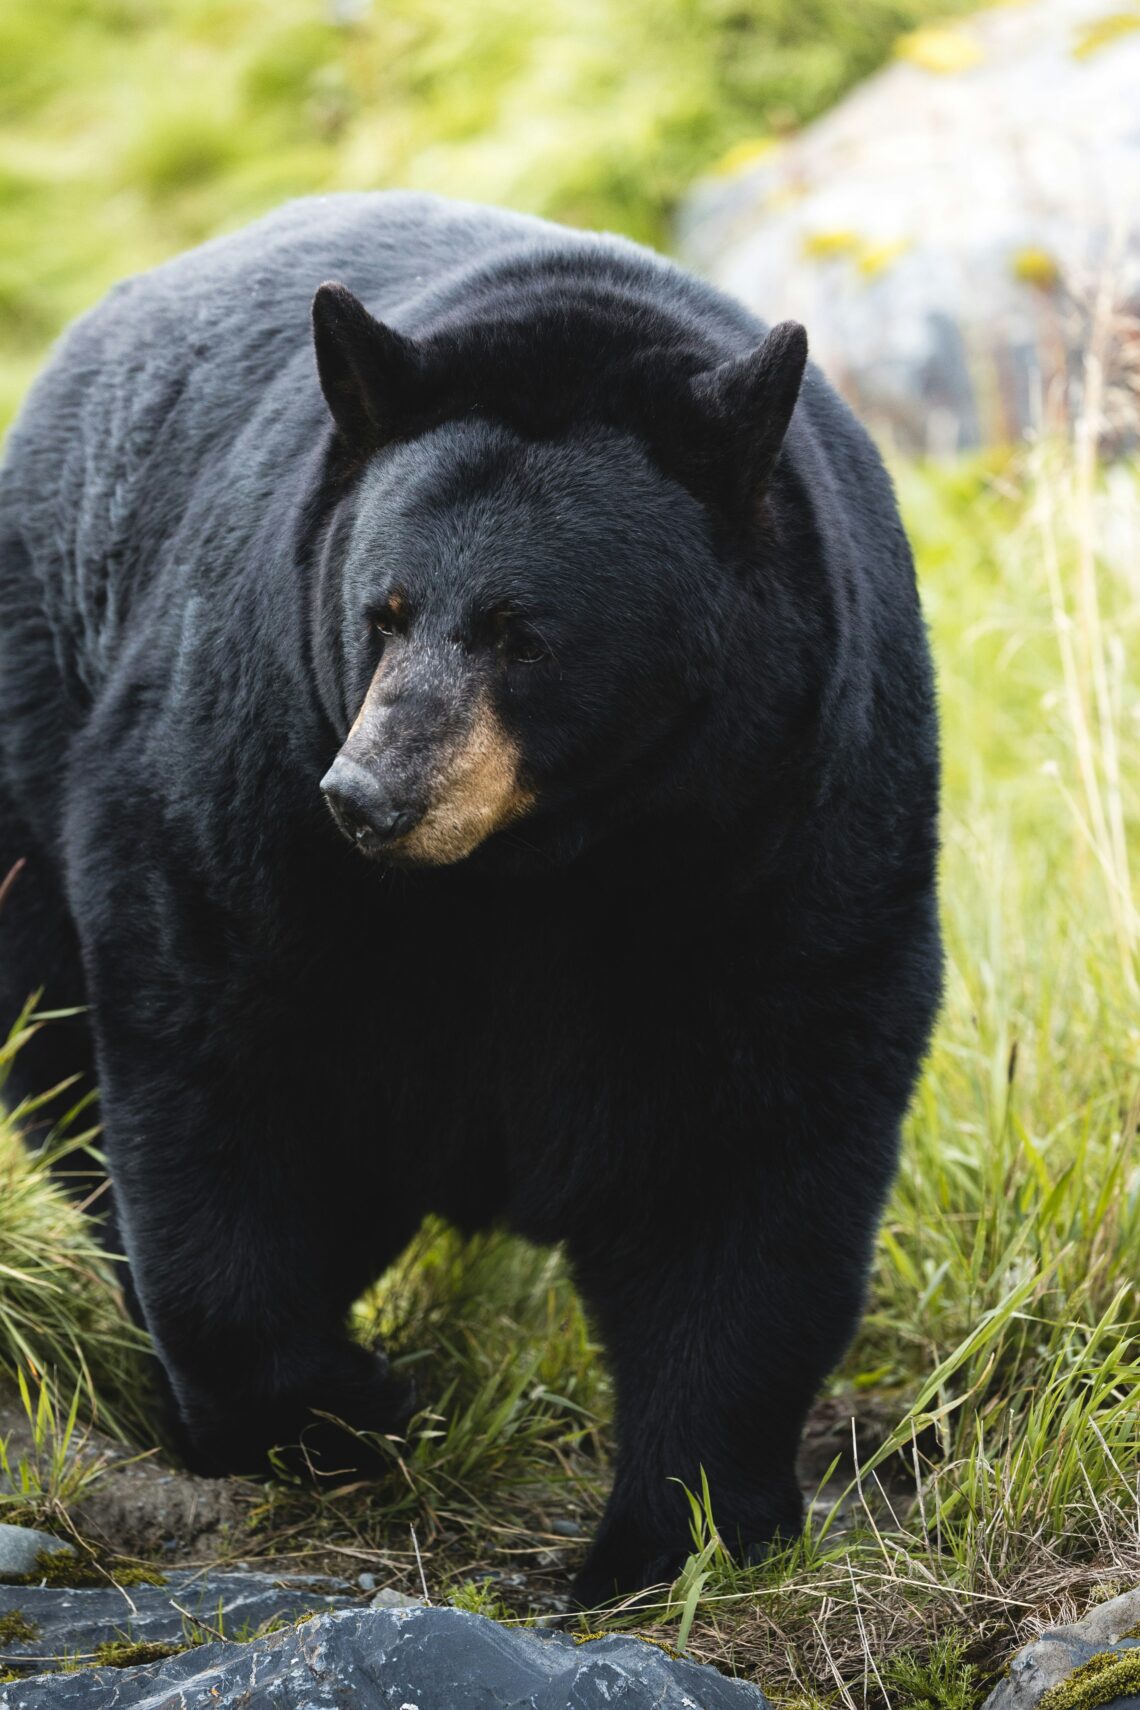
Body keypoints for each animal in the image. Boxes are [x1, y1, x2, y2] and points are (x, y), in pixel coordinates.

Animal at [0, 191, 942, 1606]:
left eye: (522, 630)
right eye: (382, 611)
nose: (369, 795)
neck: (540, 870)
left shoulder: (787, 823)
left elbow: (759, 1149)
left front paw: (677, 1531)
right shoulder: (249, 766)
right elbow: (210, 1053)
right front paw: (348, 1414)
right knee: (64, 1065)